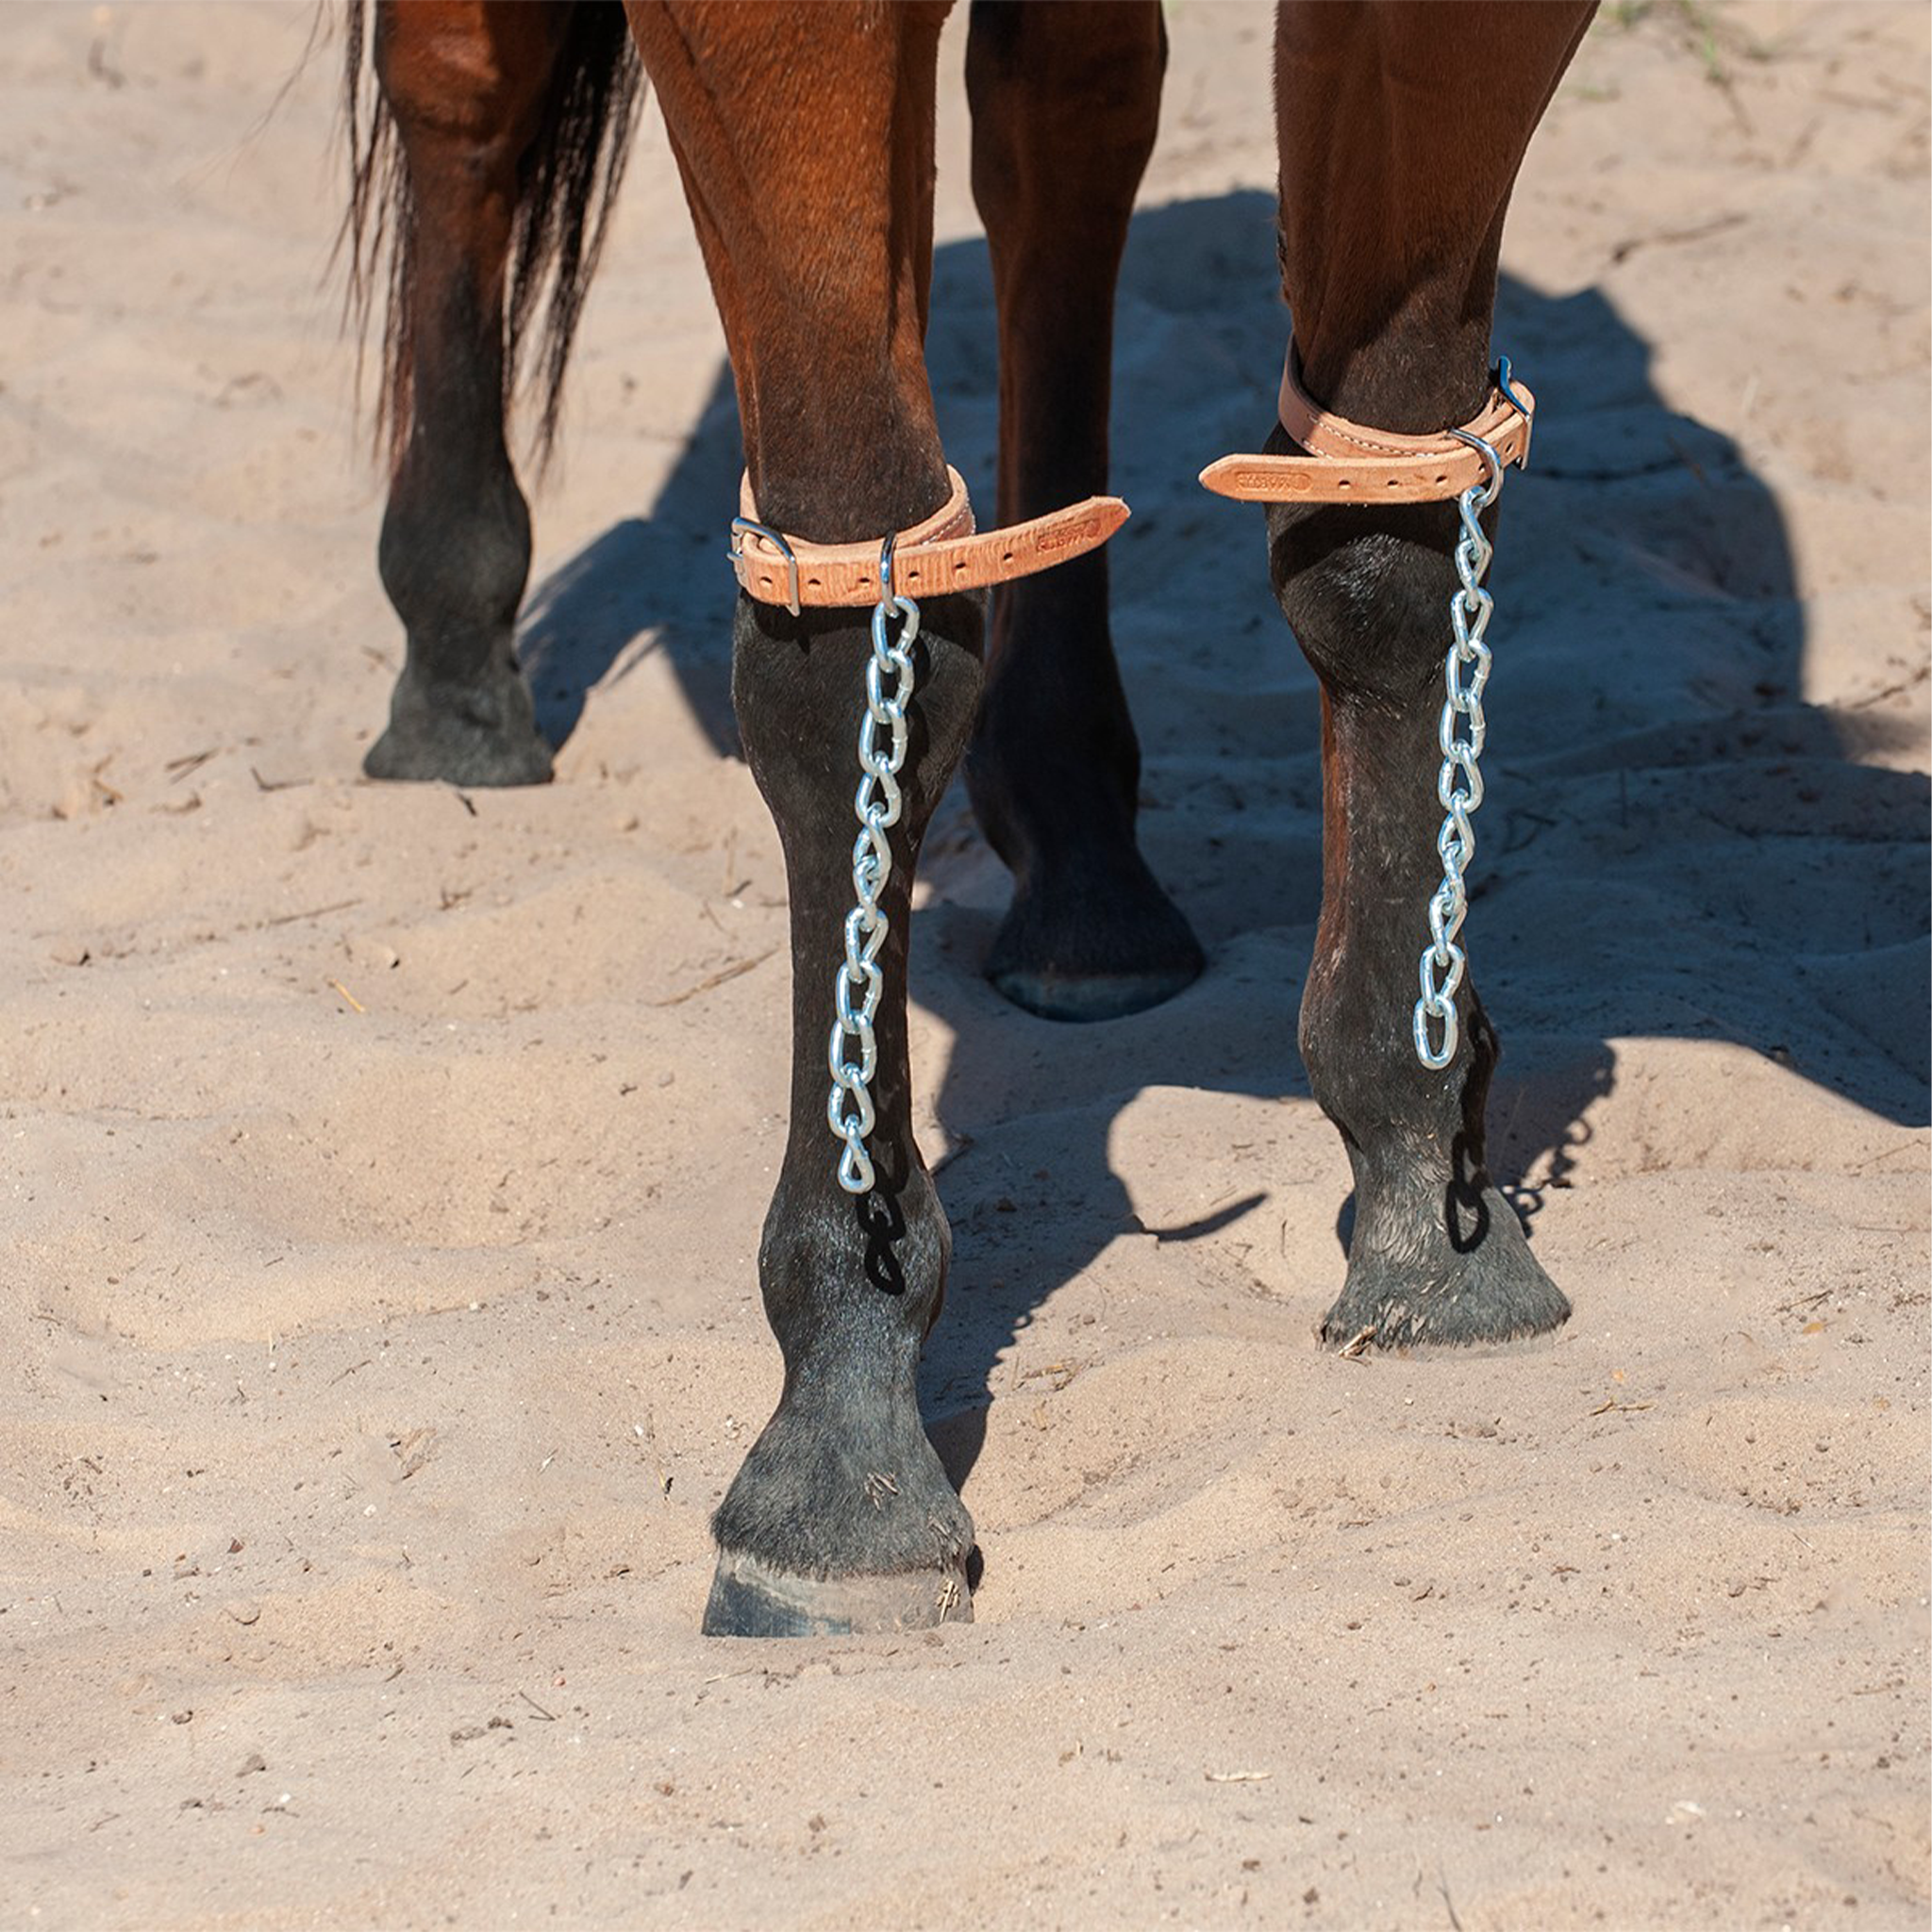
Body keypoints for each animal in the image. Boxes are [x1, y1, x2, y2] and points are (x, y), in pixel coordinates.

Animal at [340, 0, 1599, 1636]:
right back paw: (453, 668)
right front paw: (840, 1440)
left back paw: (1084, 868)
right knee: (460, 92)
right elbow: (853, 656)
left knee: (1062, 124)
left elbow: (1381, 537)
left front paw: (1422, 1166)